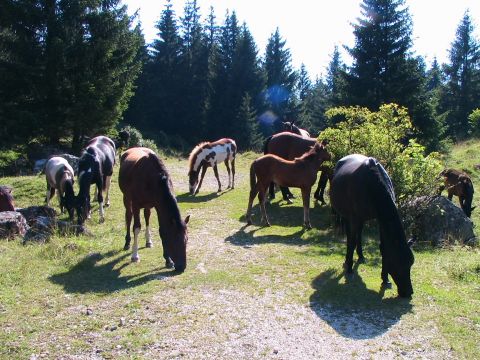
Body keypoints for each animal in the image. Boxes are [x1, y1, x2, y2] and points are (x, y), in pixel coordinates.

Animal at [328, 155, 414, 298]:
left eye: (410, 263)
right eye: (397, 264)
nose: (408, 292)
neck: (372, 185)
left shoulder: (379, 220)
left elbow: (384, 247)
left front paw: (385, 279)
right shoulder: (354, 218)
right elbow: (351, 242)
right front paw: (349, 268)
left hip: (361, 219)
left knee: (359, 234)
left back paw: (361, 256)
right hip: (348, 216)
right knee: (350, 236)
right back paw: (348, 260)